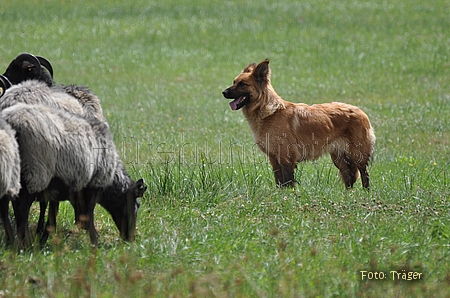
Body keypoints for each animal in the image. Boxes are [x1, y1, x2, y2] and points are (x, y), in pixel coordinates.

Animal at [222, 59, 376, 187]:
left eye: (243, 84)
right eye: (234, 82)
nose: (223, 92)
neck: (269, 111)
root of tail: (360, 111)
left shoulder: (286, 158)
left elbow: (287, 182)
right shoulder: (275, 159)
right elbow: (279, 183)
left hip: (357, 155)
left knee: (365, 175)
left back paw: (365, 193)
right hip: (339, 158)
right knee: (349, 179)